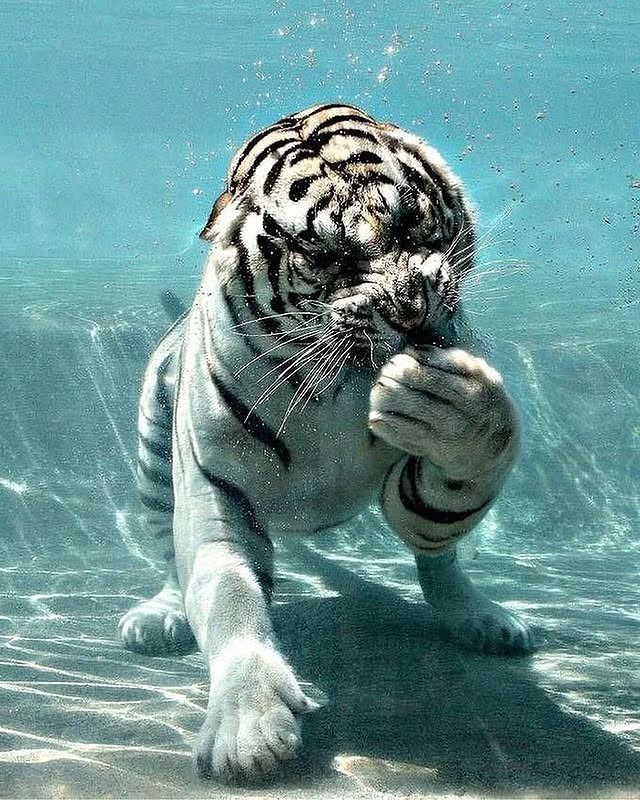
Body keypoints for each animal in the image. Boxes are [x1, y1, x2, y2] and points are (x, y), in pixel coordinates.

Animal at [118, 103, 533, 781]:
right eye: (326, 255)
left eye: (410, 222)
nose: (410, 310)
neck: (333, 392)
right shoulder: (216, 497)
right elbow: (230, 598)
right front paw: (250, 728)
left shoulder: (414, 487)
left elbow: (458, 477)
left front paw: (449, 404)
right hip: (155, 466)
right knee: (170, 560)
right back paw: (158, 617)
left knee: (440, 562)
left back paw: (483, 619)